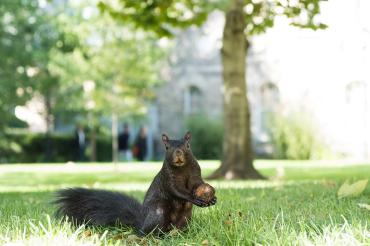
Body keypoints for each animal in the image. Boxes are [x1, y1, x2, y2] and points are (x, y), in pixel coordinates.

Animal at [55, 132, 217, 235]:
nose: (178, 152)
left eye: (188, 145)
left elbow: (198, 184)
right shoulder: (168, 178)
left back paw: (180, 233)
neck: (182, 169)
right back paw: (157, 236)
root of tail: (142, 223)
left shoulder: (196, 175)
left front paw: (212, 198)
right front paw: (194, 198)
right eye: (167, 147)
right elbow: (176, 190)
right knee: (148, 233)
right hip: (158, 213)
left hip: (185, 217)